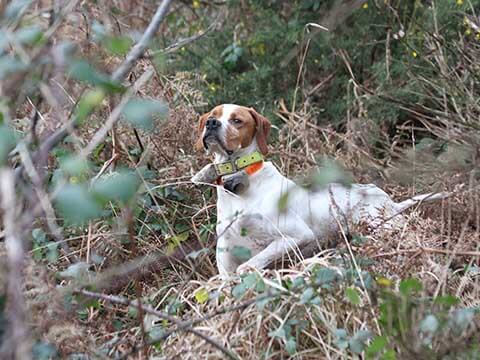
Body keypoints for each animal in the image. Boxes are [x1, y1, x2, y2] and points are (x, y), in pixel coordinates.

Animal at [191, 104, 446, 276]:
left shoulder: (296, 236)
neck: (240, 185)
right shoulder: (224, 257)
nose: (211, 124)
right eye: (213, 115)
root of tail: (388, 201)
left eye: (237, 120)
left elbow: (248, 265)